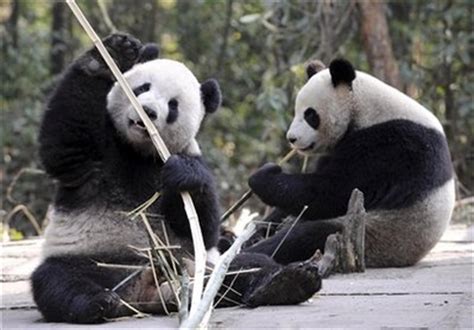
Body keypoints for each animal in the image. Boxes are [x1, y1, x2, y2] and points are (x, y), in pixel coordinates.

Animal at [31, 34, 322, 324]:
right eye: (142, 88)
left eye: (173, 106)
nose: (148, 112)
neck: (139, 152)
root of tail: (144, 292)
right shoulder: (100, 154)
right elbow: (64, 141)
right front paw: (112, 54)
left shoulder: (185, 156)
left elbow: (203, 228)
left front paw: (185, 175)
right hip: (92, 259)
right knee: (58, 280)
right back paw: (98, 303)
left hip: (200, 266)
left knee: (246, 267)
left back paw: (288, 282)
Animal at [246, 58, 454, 268]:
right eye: (296, 111)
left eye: (310, 115)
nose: (292, 138)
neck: (363, 108)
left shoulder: (391, 147)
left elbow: (334, 191)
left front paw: (264, 175)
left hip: (378, 232)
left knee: (306, 236)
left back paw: (252, 255)